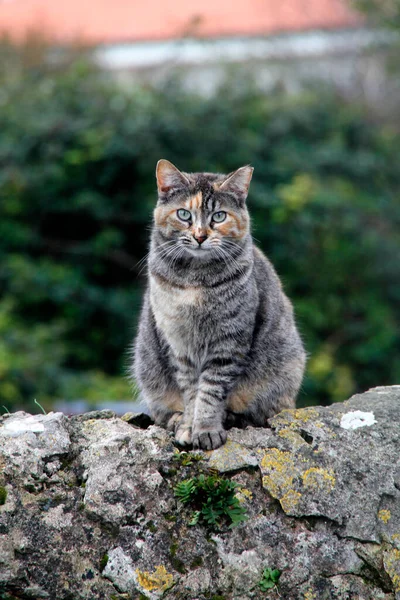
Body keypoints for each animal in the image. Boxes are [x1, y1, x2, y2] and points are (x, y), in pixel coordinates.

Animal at [133, 159, 304, 450]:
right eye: (184, 214)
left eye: (219, 216)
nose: (200, 236)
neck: (195, 279)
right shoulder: (179, 345)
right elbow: (192, 392)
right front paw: (188, 427)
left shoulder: (229, 341)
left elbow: (210, 392)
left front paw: (206, 430)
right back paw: (176, 419)